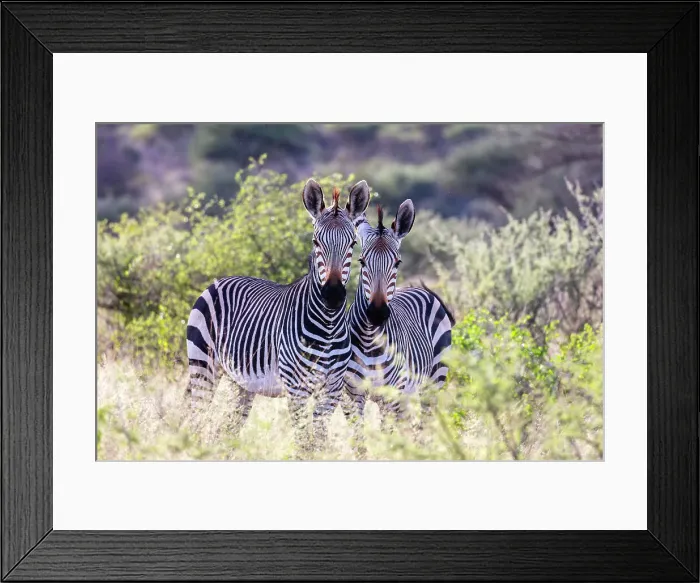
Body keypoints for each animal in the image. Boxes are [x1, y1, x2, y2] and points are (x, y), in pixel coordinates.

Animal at [186, 178, 370, 453]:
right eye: (316, 242)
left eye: (352, 245)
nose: (333, 296)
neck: (327, 326)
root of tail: (219, 281)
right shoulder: (297, 389)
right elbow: (304, 442)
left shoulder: (332, 389)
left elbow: (318, 440)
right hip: (203, 365)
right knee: (196, 415)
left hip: (241, 382)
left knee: (228, 426)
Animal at [343, 200, 455, 454]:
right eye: (362, 261)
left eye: (397, 263)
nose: (377, 313)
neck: (369, 340)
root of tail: (420, 289)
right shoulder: (353, 394)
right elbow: (359, 442)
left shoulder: (391, 395)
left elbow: (387, 438)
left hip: (433, 381)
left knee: (425, 424)